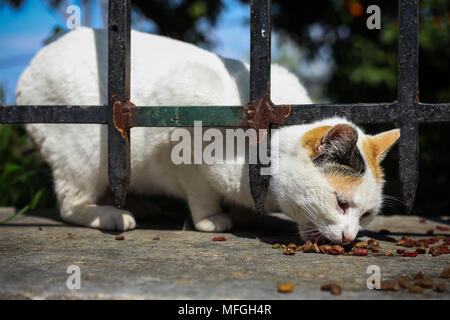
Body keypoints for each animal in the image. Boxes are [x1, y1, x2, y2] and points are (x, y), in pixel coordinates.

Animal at [15, 27, 400, 244]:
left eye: (367, 215)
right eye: (341, 203)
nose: (350, 238)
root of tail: (33, 64)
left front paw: (246, 213)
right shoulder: (181, 120)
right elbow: (199, 187)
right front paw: (211, 217)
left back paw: (136, 204)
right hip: (84, 155)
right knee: (70, 204)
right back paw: (111, 215)